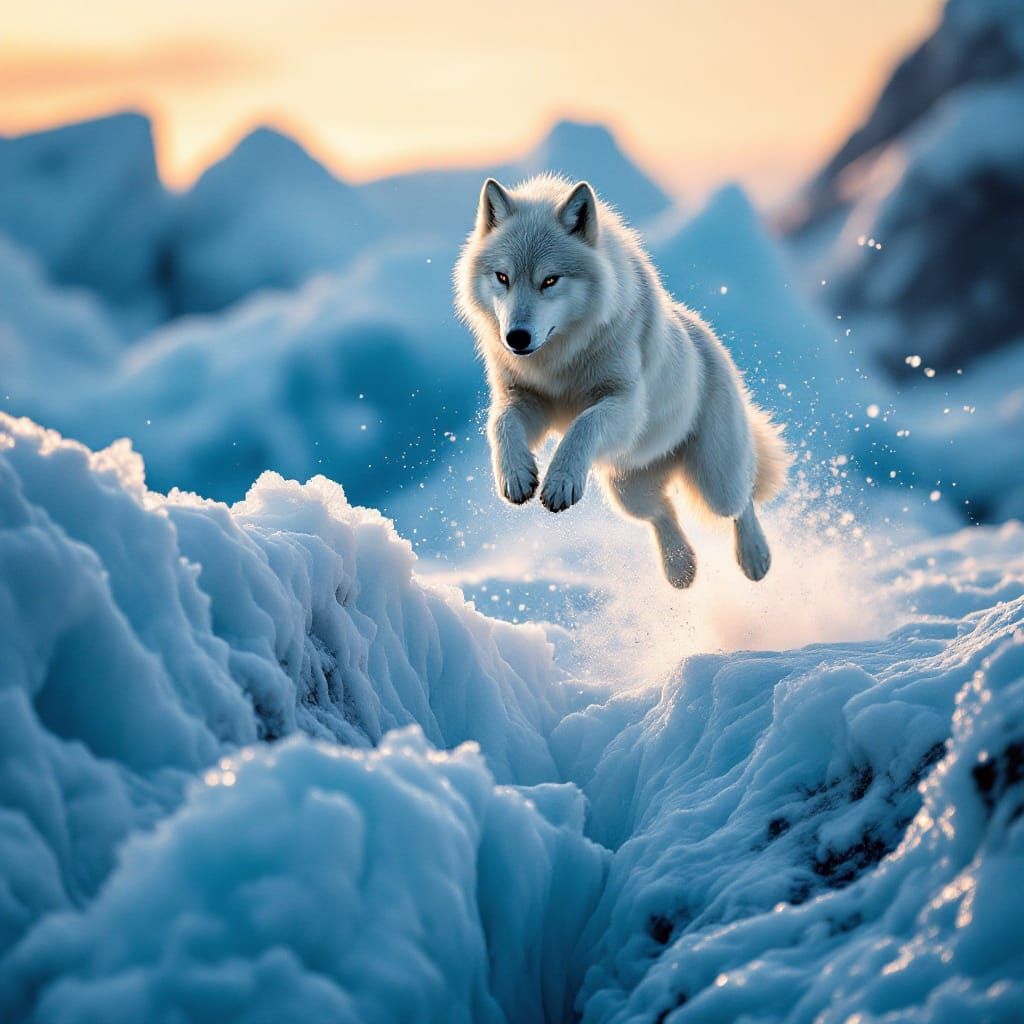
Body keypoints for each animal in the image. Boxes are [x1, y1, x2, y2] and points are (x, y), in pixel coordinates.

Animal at [453, 174, 791, 587]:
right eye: (502, 277)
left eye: (550, 280)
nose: (516, 338)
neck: (560, 361)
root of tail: (708, 337)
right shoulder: (525, 399)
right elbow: (500, 423)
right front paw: (516, 475)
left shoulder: (625, 405)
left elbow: (583, 424)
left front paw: (559, 481)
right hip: (625, 488)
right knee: (661, 512)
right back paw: (680, 570)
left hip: (716, 479)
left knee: (742, 501)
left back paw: (755, 558)